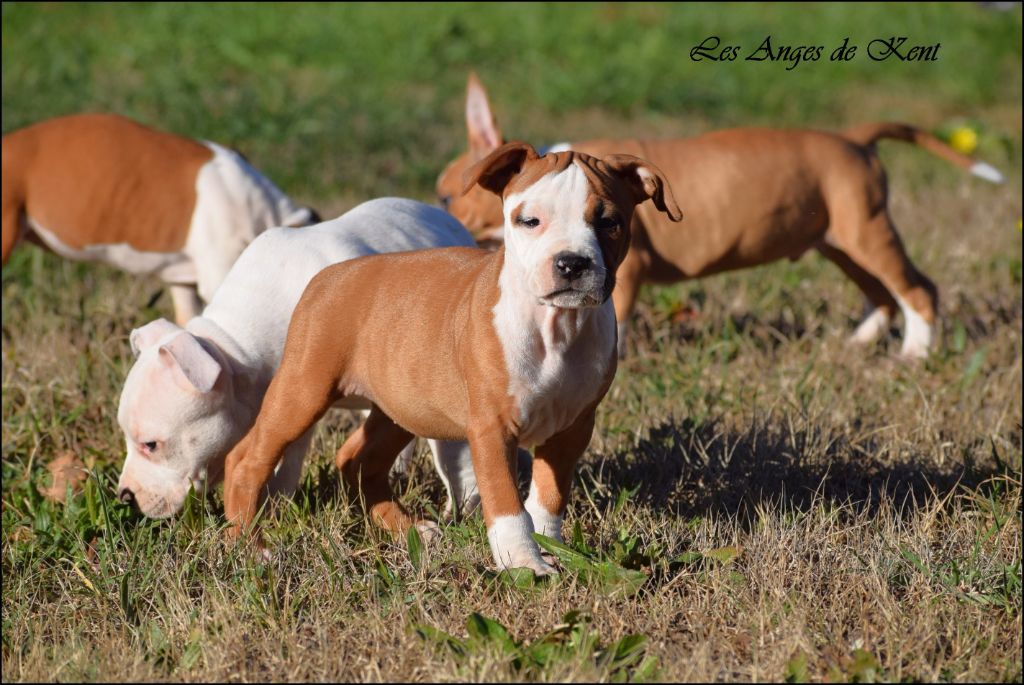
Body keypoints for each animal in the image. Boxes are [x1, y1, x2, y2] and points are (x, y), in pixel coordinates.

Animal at [114, 197, 481, 518]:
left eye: (151, 444)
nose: (124, 497)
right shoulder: (289, 401)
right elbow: (286, 462)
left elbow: (454, 459)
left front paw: (461, 514)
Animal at [224, 141, 679, 573]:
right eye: (529, 221)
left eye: (609, 222)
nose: (571, 263)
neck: (556, 327)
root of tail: (330, 275)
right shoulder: (493, 428)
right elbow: (507, 505)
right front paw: (523, 563)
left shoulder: (573, 428)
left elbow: (548, 498)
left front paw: (553, 551)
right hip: (304, 389)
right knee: (246, 459)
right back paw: (251, 544)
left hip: (402, 407)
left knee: (358, 460)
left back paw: (407, 529)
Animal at [436, 72, 1003, 360]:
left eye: (444, 199)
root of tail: (854, 138)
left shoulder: (628, 271)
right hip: (838, 240)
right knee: (880, 293)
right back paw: (858, 343)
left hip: (868, 232)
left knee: (916, 289)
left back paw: (915, 353)